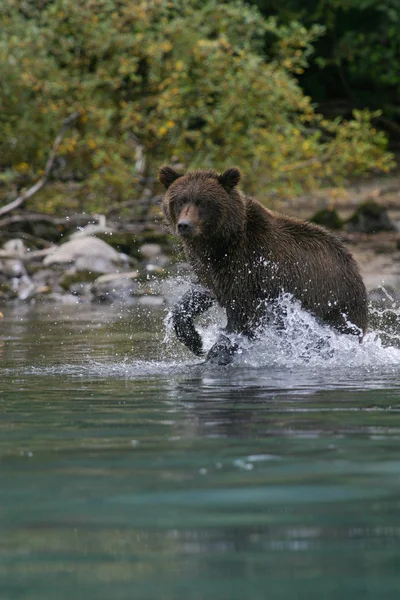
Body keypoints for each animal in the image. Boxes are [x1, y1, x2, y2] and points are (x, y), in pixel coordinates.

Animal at [159, 164, 368, 364]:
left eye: (203, 202)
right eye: (180, 200)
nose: (184, 225)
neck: (220, 243)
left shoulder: (252, 268)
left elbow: (244, 317)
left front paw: (215, 355)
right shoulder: (211, 270)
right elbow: (199, 293)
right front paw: (194, 340)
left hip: (333, 303)